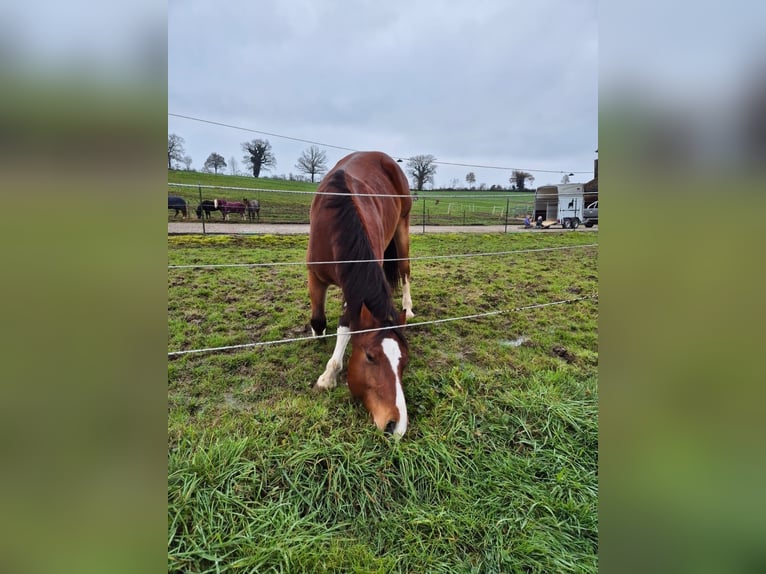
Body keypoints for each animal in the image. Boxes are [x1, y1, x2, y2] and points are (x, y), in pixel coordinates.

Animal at [306, 151, 414, 438]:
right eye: (370, 357)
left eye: (404, 362)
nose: (397, 425)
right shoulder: (315, 277)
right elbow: (319, 319)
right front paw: (320, 346)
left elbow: (346, 323)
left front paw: (330, 372)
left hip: (402, 226)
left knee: (405, 268)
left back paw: (409, 307)